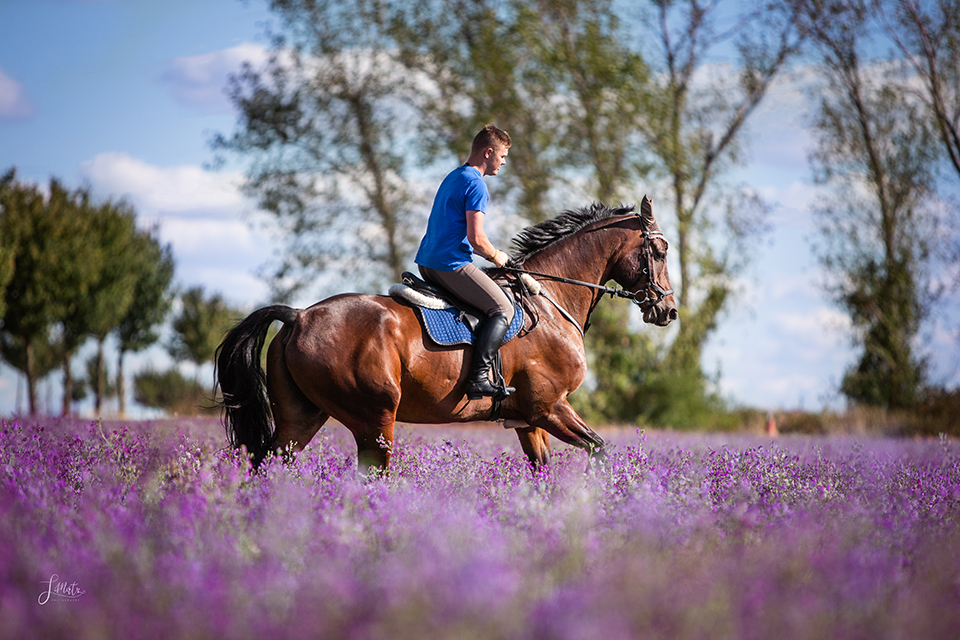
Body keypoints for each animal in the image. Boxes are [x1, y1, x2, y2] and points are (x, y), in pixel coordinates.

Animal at [217, 198, 676, 472]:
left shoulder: (529, 421)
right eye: (660, 251)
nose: (668, 310)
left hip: (303, 417)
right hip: (374, 420)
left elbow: (543, 472)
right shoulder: (550, 407)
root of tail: (298, 316)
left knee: (269, 466)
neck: (551, 300)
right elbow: (600, 449)